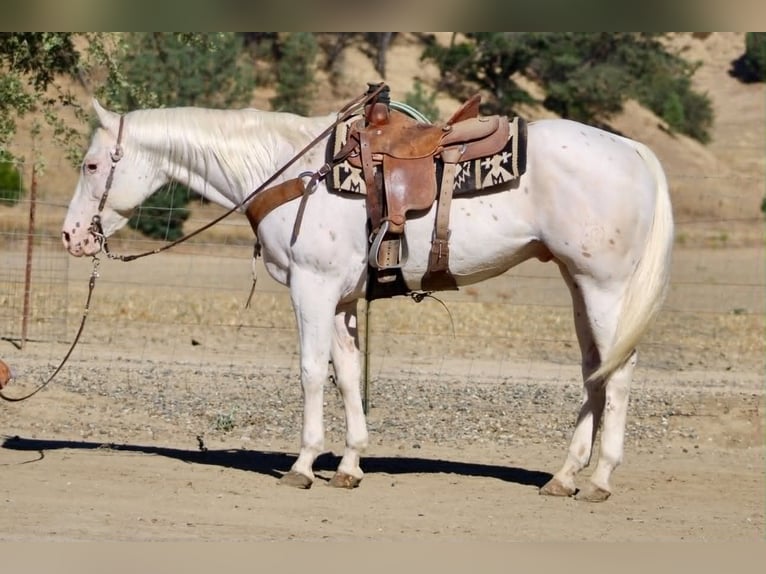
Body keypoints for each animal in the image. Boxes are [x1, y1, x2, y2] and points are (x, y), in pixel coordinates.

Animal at [61, 95, 673, 502]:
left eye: (91, 165)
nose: (72, 237)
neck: (292, 171)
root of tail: (634, 150)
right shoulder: (339, 299)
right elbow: (348, 375)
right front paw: (351, 464)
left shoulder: (311, 288)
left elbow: (311, 372)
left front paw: (304, 463)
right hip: (578, 284)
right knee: (594, 370)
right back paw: (565, 475)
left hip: (605, 288)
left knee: (618, 374)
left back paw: (599, 479)